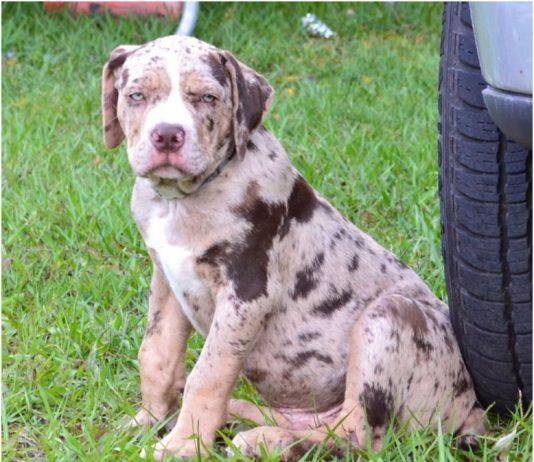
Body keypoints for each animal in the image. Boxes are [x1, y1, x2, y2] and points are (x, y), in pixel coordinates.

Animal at [99, 35, 486, 458]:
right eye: (136, 95)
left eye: (206, 98)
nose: (168, 135)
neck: (183, 200)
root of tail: (472, 408)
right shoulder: (167, 280)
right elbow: (156, 354)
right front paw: (146, 421)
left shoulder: (247, 293)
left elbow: (208, 374)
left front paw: (182, 446)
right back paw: (252, 424)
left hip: (388, 317)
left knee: (359, 438)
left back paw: (268, 440)